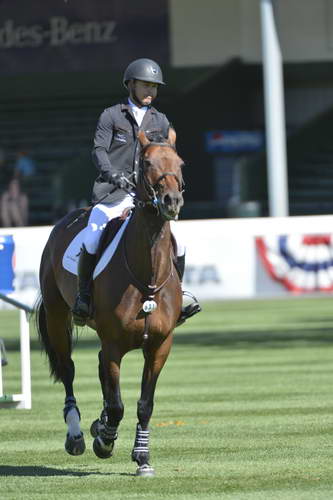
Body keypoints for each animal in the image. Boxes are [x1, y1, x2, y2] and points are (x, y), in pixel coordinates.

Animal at [35, 129, 184, 476]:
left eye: (180, 162)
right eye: (147, 163)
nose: (171, 201)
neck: (147, 276)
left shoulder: (160, 346)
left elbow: (144, 404)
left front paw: (142, 457)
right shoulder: (115, 344)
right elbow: (117, 405)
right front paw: (104, 440)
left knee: (100, 368)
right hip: (57, 318)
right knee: (68, 370)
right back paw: (77, 434)